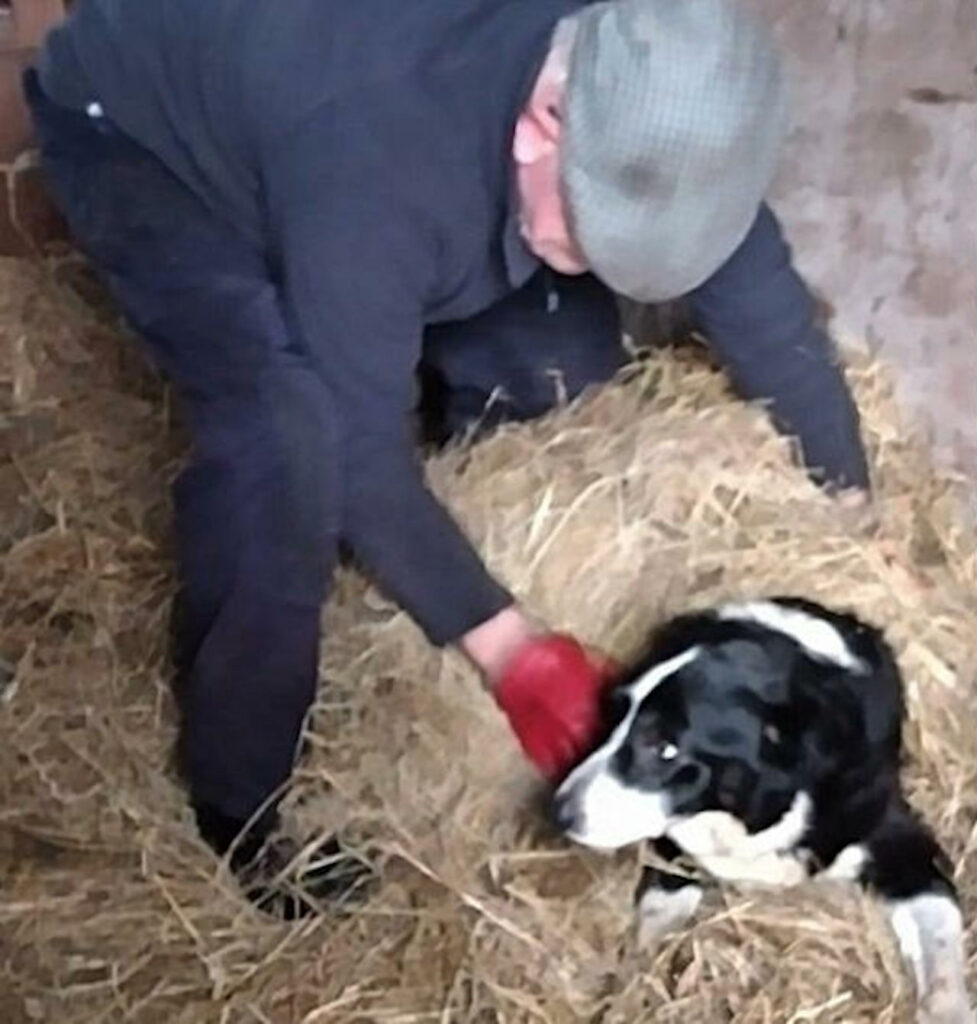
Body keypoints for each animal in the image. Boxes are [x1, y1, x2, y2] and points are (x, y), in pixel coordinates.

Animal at [553, 598, 970, 1019]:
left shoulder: (900, 844)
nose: (560, 811)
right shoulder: (673, 854)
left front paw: (947, 1010)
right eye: (613, 715)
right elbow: (654, 926)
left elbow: (940, 942)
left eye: (665, 748)